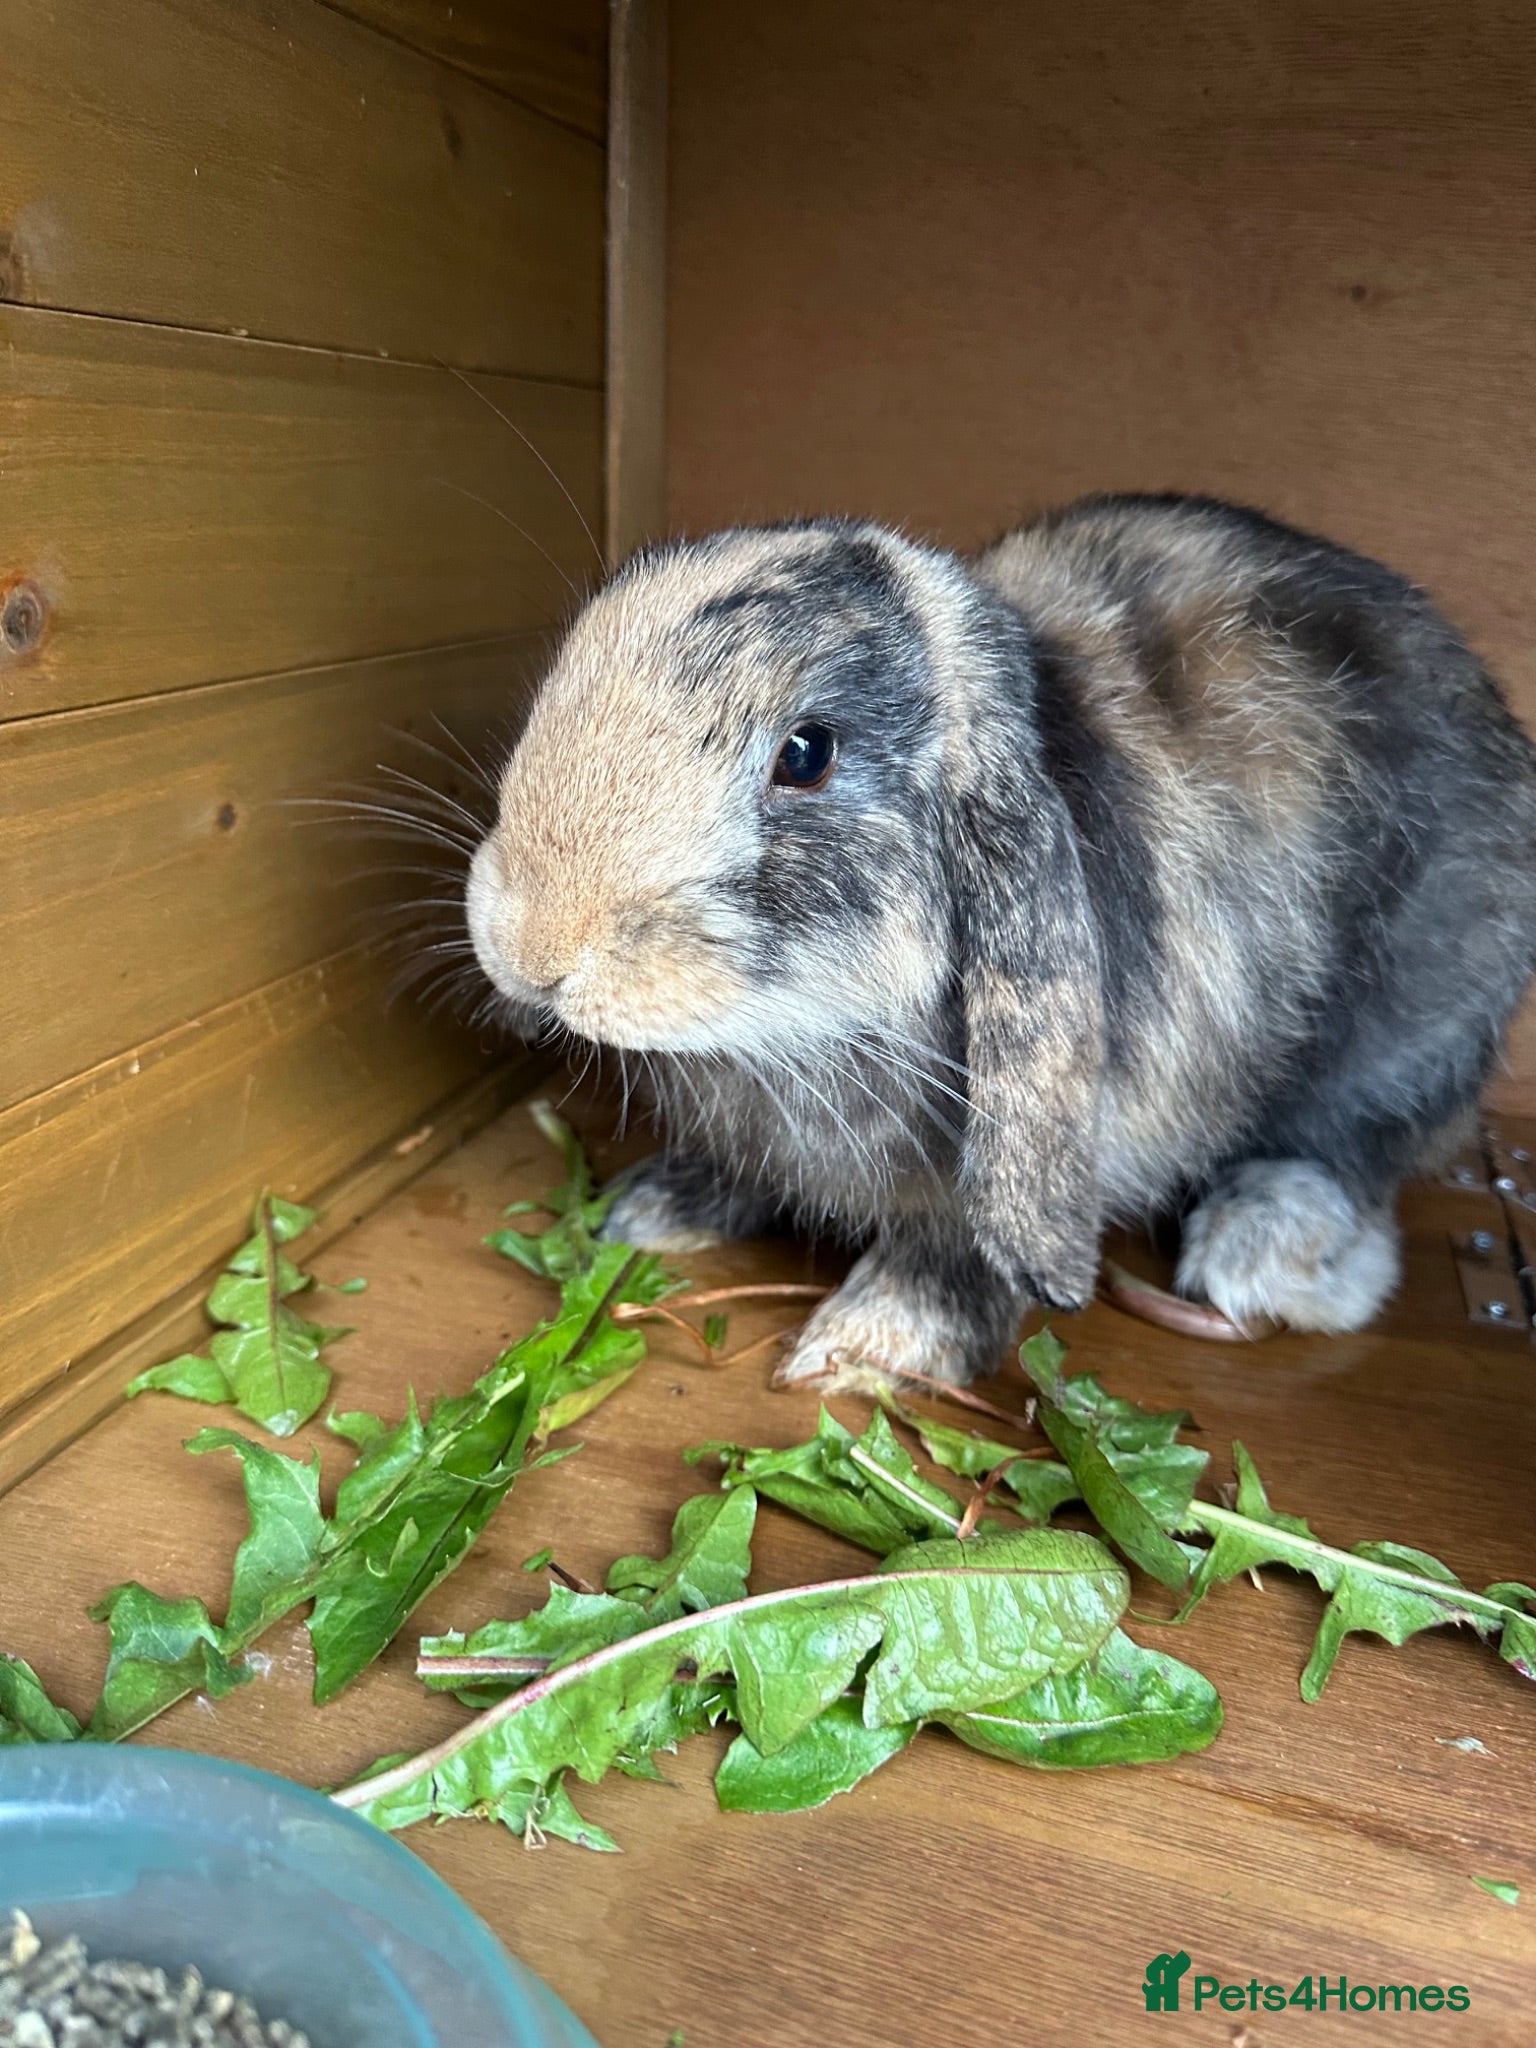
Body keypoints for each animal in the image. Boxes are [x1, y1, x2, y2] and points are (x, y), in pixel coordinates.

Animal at [464, 493, 1536, 1383]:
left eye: (806, 754)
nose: (534, 952)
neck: (798, 1038)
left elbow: (961, 1248)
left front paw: (867, 1346)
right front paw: (649, 1213)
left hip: (1405, 1040)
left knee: (1357, 1154)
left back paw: (1253, 1250)